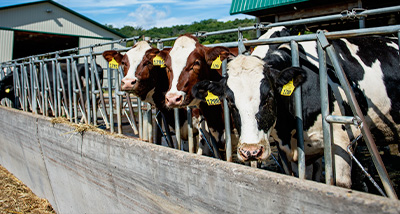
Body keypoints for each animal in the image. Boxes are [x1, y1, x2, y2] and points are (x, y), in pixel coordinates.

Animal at [192, 26, 398, 189]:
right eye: (230, 100)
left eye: (269, 96)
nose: (251, 152)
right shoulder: (286, 149)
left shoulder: (342, 139)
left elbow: (340, 185)